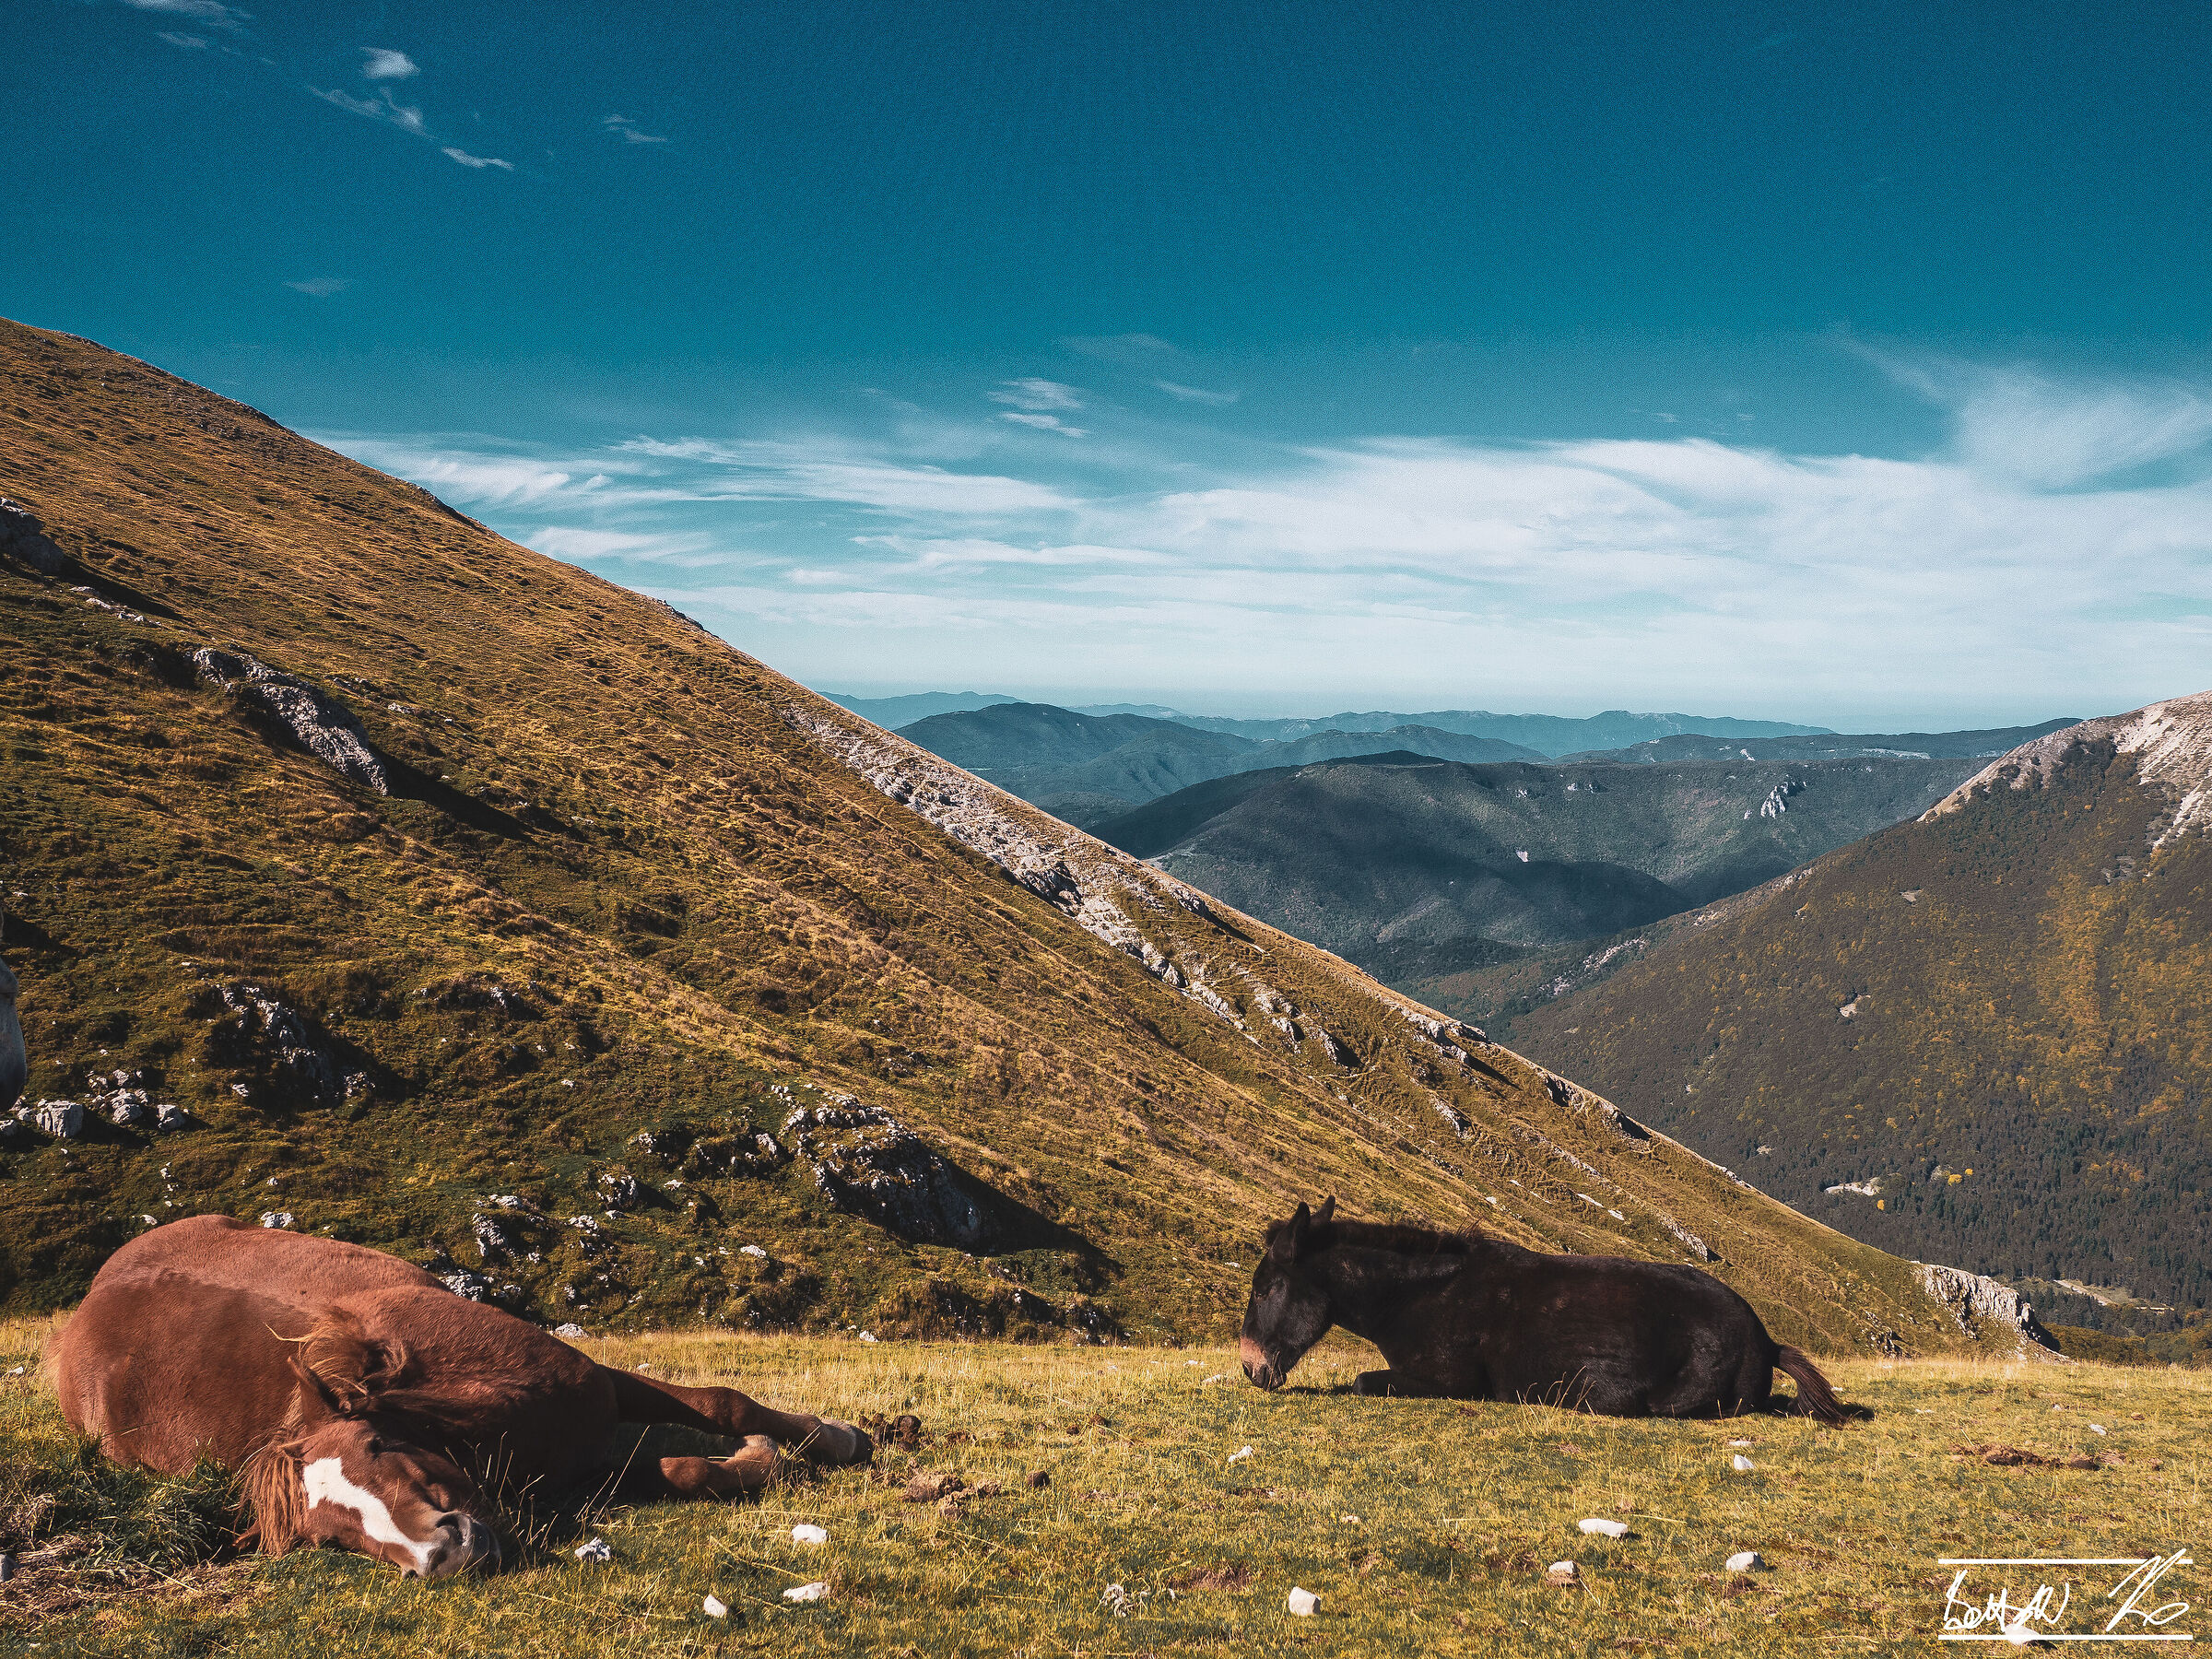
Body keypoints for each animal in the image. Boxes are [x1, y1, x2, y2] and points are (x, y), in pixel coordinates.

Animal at [52, 1215, 887, 1577]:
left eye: (377, 1446)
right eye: (329, 1537)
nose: (442, 1554)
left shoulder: (597, 1387)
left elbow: (722, 1404)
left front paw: (838, 1437)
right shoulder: (570, 1475)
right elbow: (686, 1471)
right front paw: (760, 1459)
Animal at [1237, 1199, 1869, 1424]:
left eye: (1266, 1288)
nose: (1250, 1368)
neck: (1417, 1297)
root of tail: (1764, 1338)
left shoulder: (1450, 1381)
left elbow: (1364, 1381)